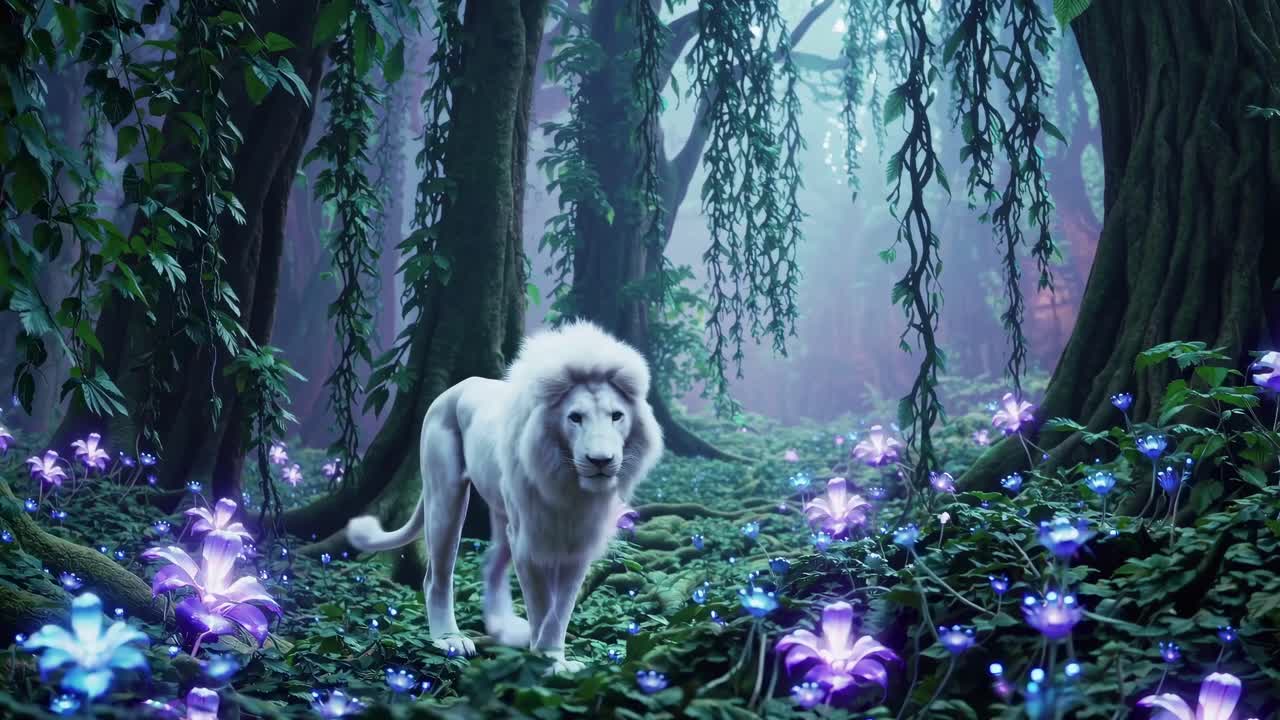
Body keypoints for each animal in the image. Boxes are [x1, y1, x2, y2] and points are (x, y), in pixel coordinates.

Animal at [345, 320, 664, 673]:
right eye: (575, 417)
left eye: (616, 416)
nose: (601, 461)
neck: (568, 486)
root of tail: (454, 389)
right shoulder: (529, 542)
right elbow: (542, 604)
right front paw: (547, 660)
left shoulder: (578, 544)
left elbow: (561, 608)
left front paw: (555, 656)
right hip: (445, 496)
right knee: (436, 576)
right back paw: (450, 639)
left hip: (501, 510)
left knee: (492, 563)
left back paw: (506, 628)